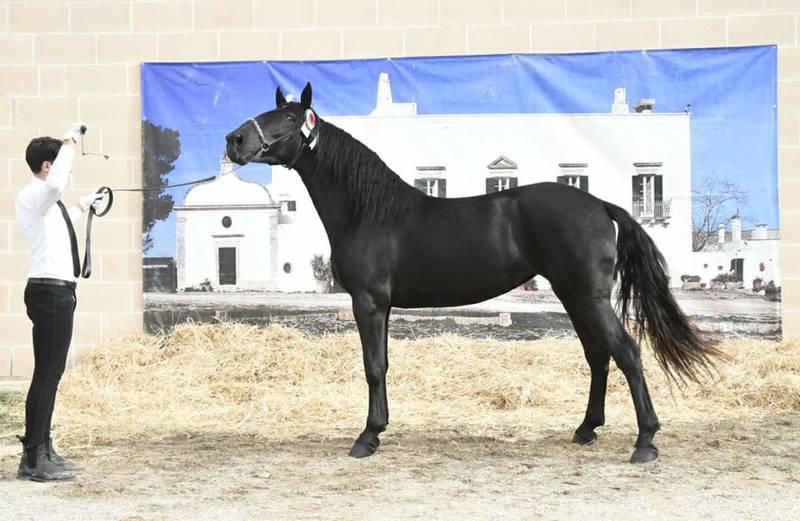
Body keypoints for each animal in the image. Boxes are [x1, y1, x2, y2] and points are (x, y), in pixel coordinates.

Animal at [225, 82, 723, 464]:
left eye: (290, 118)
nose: (235, 140)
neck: (369, 211)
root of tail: (599, 204)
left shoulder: (368, 303)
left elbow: (373, 367)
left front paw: (367, 437)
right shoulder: (379, 307)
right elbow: (381, 365)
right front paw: (378, 430)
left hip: (588, 297)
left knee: (627, 353)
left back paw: (645, 442)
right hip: (574, 296)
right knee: (598, 356)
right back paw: (586, 429)